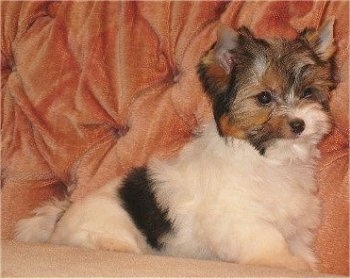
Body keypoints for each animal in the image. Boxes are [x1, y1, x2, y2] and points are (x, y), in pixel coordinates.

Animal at [15, 20, 336, 274]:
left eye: (308, 93)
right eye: (265, 98)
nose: (298, 124)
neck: (271, 159)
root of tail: (61, 217)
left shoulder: (295, 220)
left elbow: (295, 240)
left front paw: (304, 262)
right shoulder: (239, 216)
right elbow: (269, 240)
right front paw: (288, 263)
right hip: (102, 228)